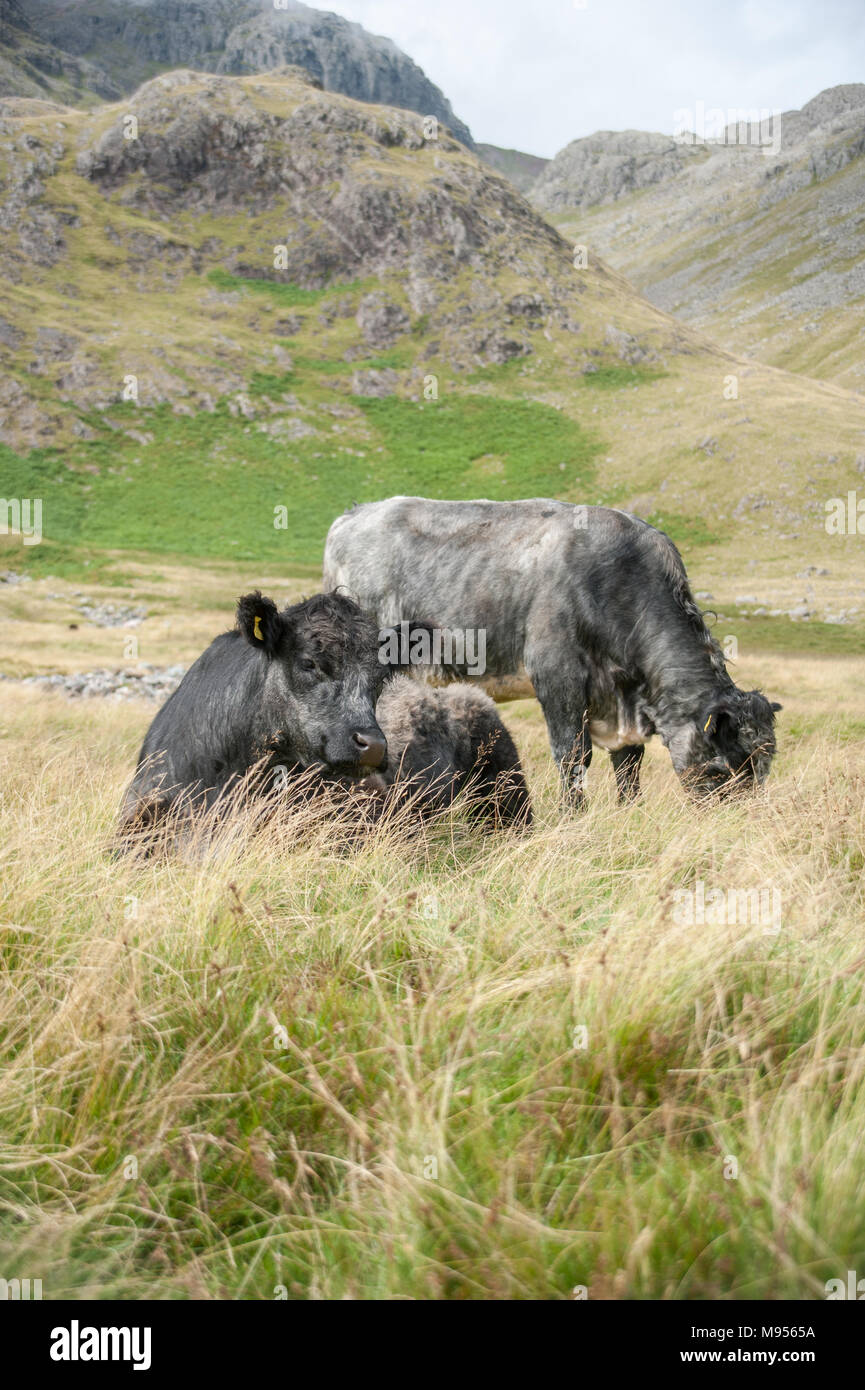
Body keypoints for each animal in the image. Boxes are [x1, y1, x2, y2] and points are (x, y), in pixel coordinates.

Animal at [325, 497, 784, 806]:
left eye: (763, 770)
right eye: (720, 770)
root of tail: (356, 514)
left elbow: (628, 767)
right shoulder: (557, 677)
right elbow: (572, 759)